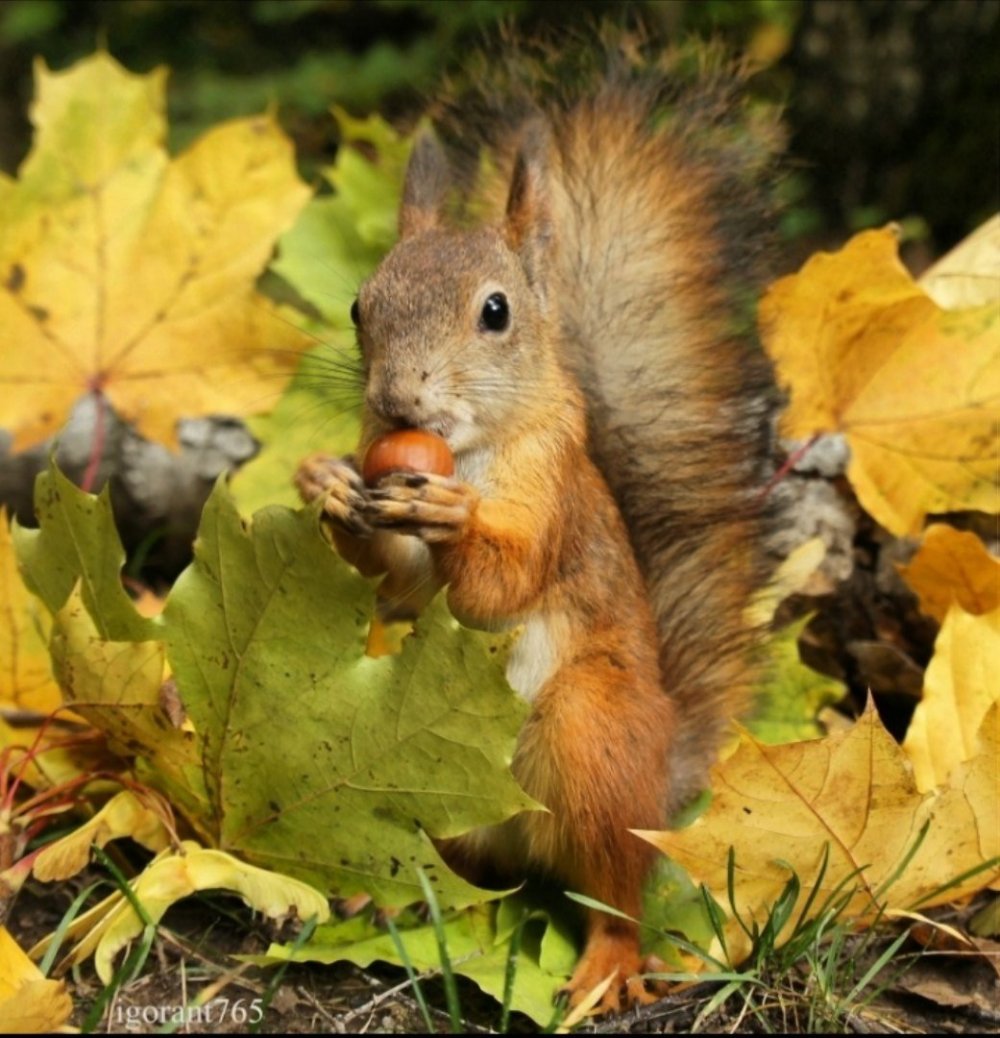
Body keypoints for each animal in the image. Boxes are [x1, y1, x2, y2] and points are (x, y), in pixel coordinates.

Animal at [296, 34, 780, 1013]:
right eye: (362, 305)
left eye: (496, 312)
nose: (397, 398)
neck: (476, 448)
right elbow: (397, 583)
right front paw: (326, 483)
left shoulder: (554, 499)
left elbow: (501, 586)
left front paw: (451, 519)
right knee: (452, 864)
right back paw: (382, 889)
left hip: (590, 737)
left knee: (617, 898)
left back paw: (605, 967)